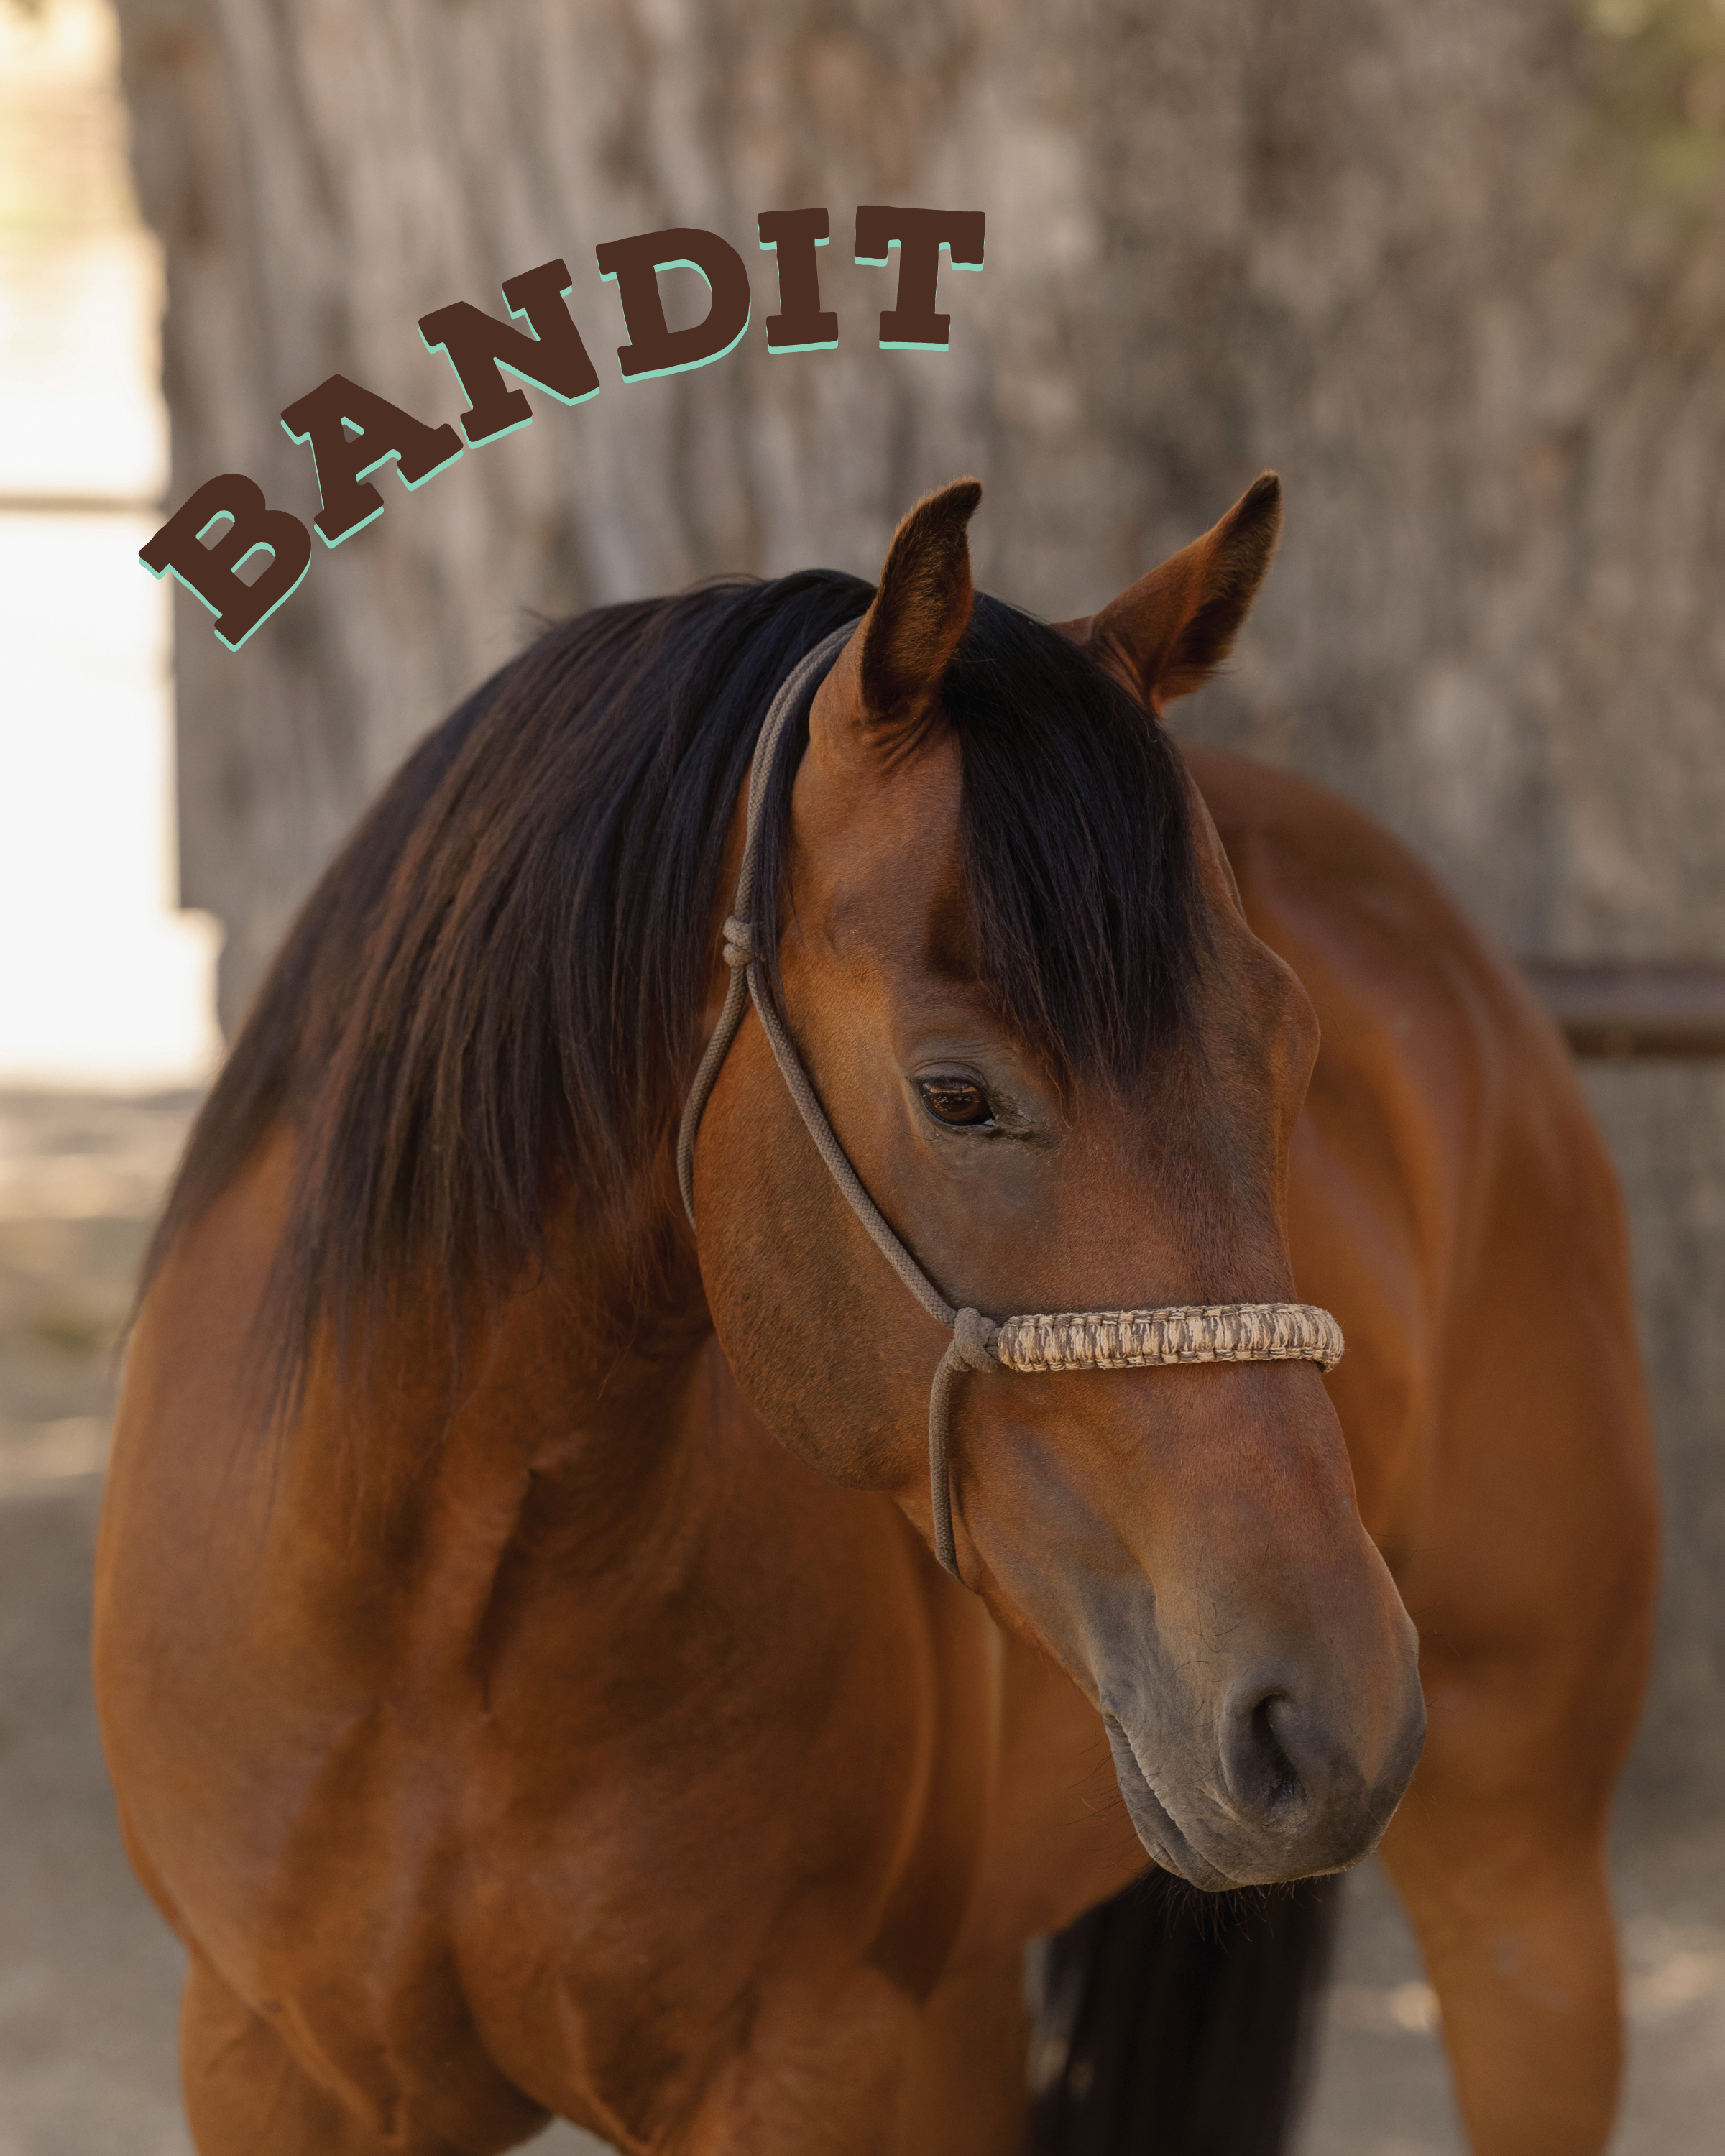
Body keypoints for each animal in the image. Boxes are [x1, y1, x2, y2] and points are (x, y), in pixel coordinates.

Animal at [93, 474, 1658, 2156]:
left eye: (1290, 1053)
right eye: (956, 1095)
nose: (1331, 1714)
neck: (441, 1618)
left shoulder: (801, 2064)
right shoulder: (264, 2065)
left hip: (1523, 1879)